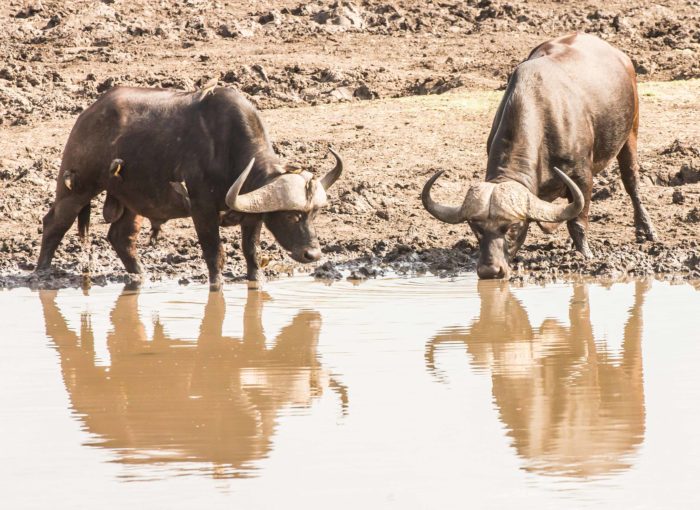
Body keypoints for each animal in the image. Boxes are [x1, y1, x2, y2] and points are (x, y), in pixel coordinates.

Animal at [34, 85, 342, 288]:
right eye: (291, 215)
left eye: (314, 214)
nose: (312, 254)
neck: (227, 151)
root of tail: (87, 115)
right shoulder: (201, 209)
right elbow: (214, 255)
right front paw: (216, 287)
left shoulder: (253, 215)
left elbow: (251, 253)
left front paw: (257, 281)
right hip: (76, 186)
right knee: (54, 222)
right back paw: (41, 272)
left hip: (131, 200)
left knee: (121, 237)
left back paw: (141, 276)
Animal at [424, 32, 660, 278]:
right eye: (475, 228)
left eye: (513, 227)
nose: (490, 270)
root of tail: (621, 57)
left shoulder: (583, 177)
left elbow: (578, 222)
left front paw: (585, 255)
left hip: (631, 132)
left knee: (631, 181)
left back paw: (646, 229)